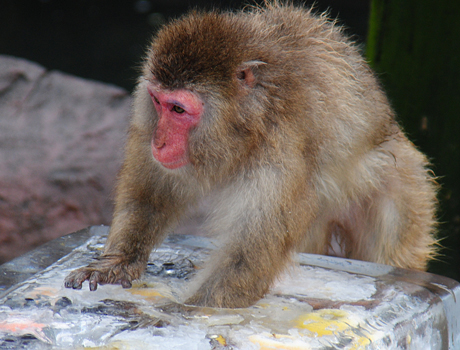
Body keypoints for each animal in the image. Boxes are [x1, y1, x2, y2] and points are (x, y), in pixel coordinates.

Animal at [63, 3, 436, 308]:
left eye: (179, 109)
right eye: (158, 102)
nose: (159, 142)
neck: (246, 128)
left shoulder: (280, 157)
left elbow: (243, 261)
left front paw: (178, 314)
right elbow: (152, 194)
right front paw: (116, 264)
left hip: (403, 189)